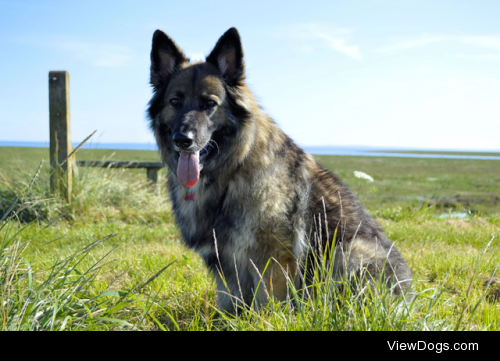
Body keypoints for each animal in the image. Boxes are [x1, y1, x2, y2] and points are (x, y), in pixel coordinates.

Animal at [146, 27, 412, 312]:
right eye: (175, 101)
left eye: (209, 103)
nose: (182, 139)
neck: (232, 169)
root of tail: (408, 299)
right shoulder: (225, 263)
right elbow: (229, 303)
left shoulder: (273, 257)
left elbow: (266, 304)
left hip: (347, 251)